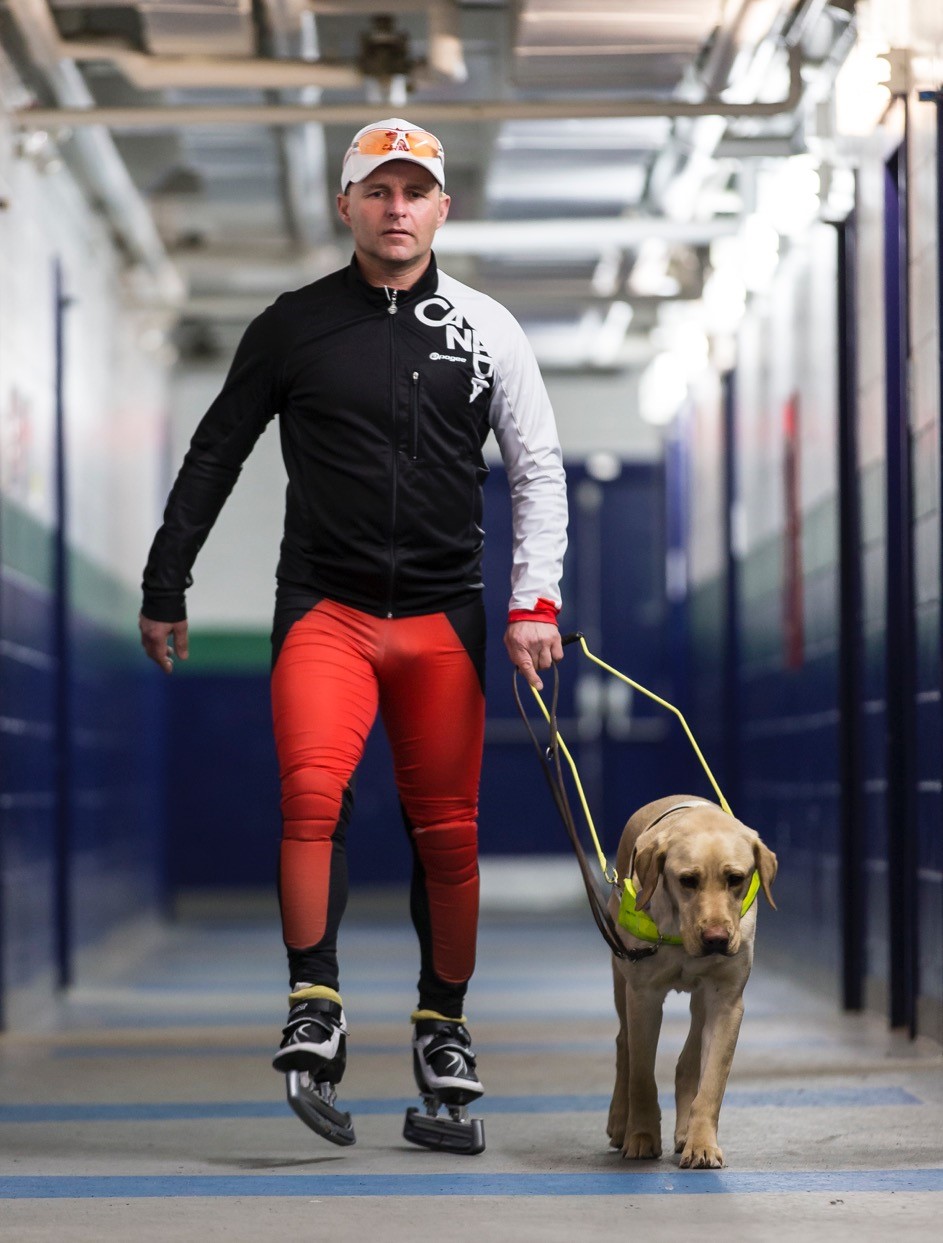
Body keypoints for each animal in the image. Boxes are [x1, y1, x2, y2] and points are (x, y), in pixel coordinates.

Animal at [608, 795, 780, 1163]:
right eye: (687, 880)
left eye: (736, 878)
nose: (716, 939)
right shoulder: (643, 996)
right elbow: (642, 1076)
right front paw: (641, 1135)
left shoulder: (727, 1001)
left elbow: (712, 1082)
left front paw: (702, 1143)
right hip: (620, 979)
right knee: (623, 1045)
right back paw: (619, 1121)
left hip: (701, 1000)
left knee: (687, 1063)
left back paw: (685, 1131)